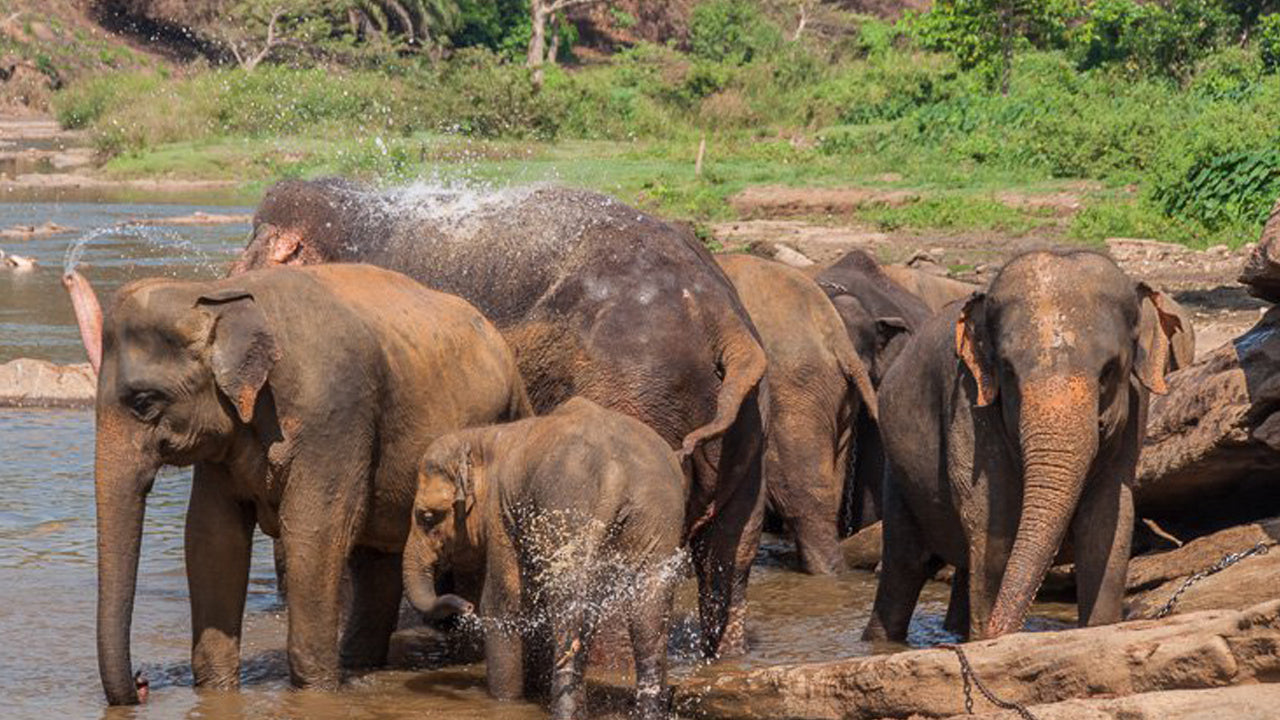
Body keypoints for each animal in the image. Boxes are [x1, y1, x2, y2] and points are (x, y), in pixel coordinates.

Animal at [76, 264, 531, 705]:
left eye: (143, 403)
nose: (142, 682)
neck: (219, 294)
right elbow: (213, 538)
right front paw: (216, 690)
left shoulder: (332, 415)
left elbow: (314, 534)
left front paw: (315, 692)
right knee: (376, 561)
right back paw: (359, 663)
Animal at [402, 397, 686, 720]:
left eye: (427, 517)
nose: (466, 607)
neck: (483, 438)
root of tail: (615, 475)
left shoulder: (502, 514)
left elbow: (502, 604)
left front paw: (506, 702)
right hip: (657, 515)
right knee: (647, 612)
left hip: (567, 508)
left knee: (567, 606)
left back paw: (564, 711)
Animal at [863, 250, 1184, 643]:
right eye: (1008, 370)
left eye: (1109, 371)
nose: (996, 631)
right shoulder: (969, 404)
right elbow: (991, 521)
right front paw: (987, 641)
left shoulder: (1135, 412)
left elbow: (1108, 524)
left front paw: (1098, 629)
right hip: (898, 475)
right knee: (905, 565)